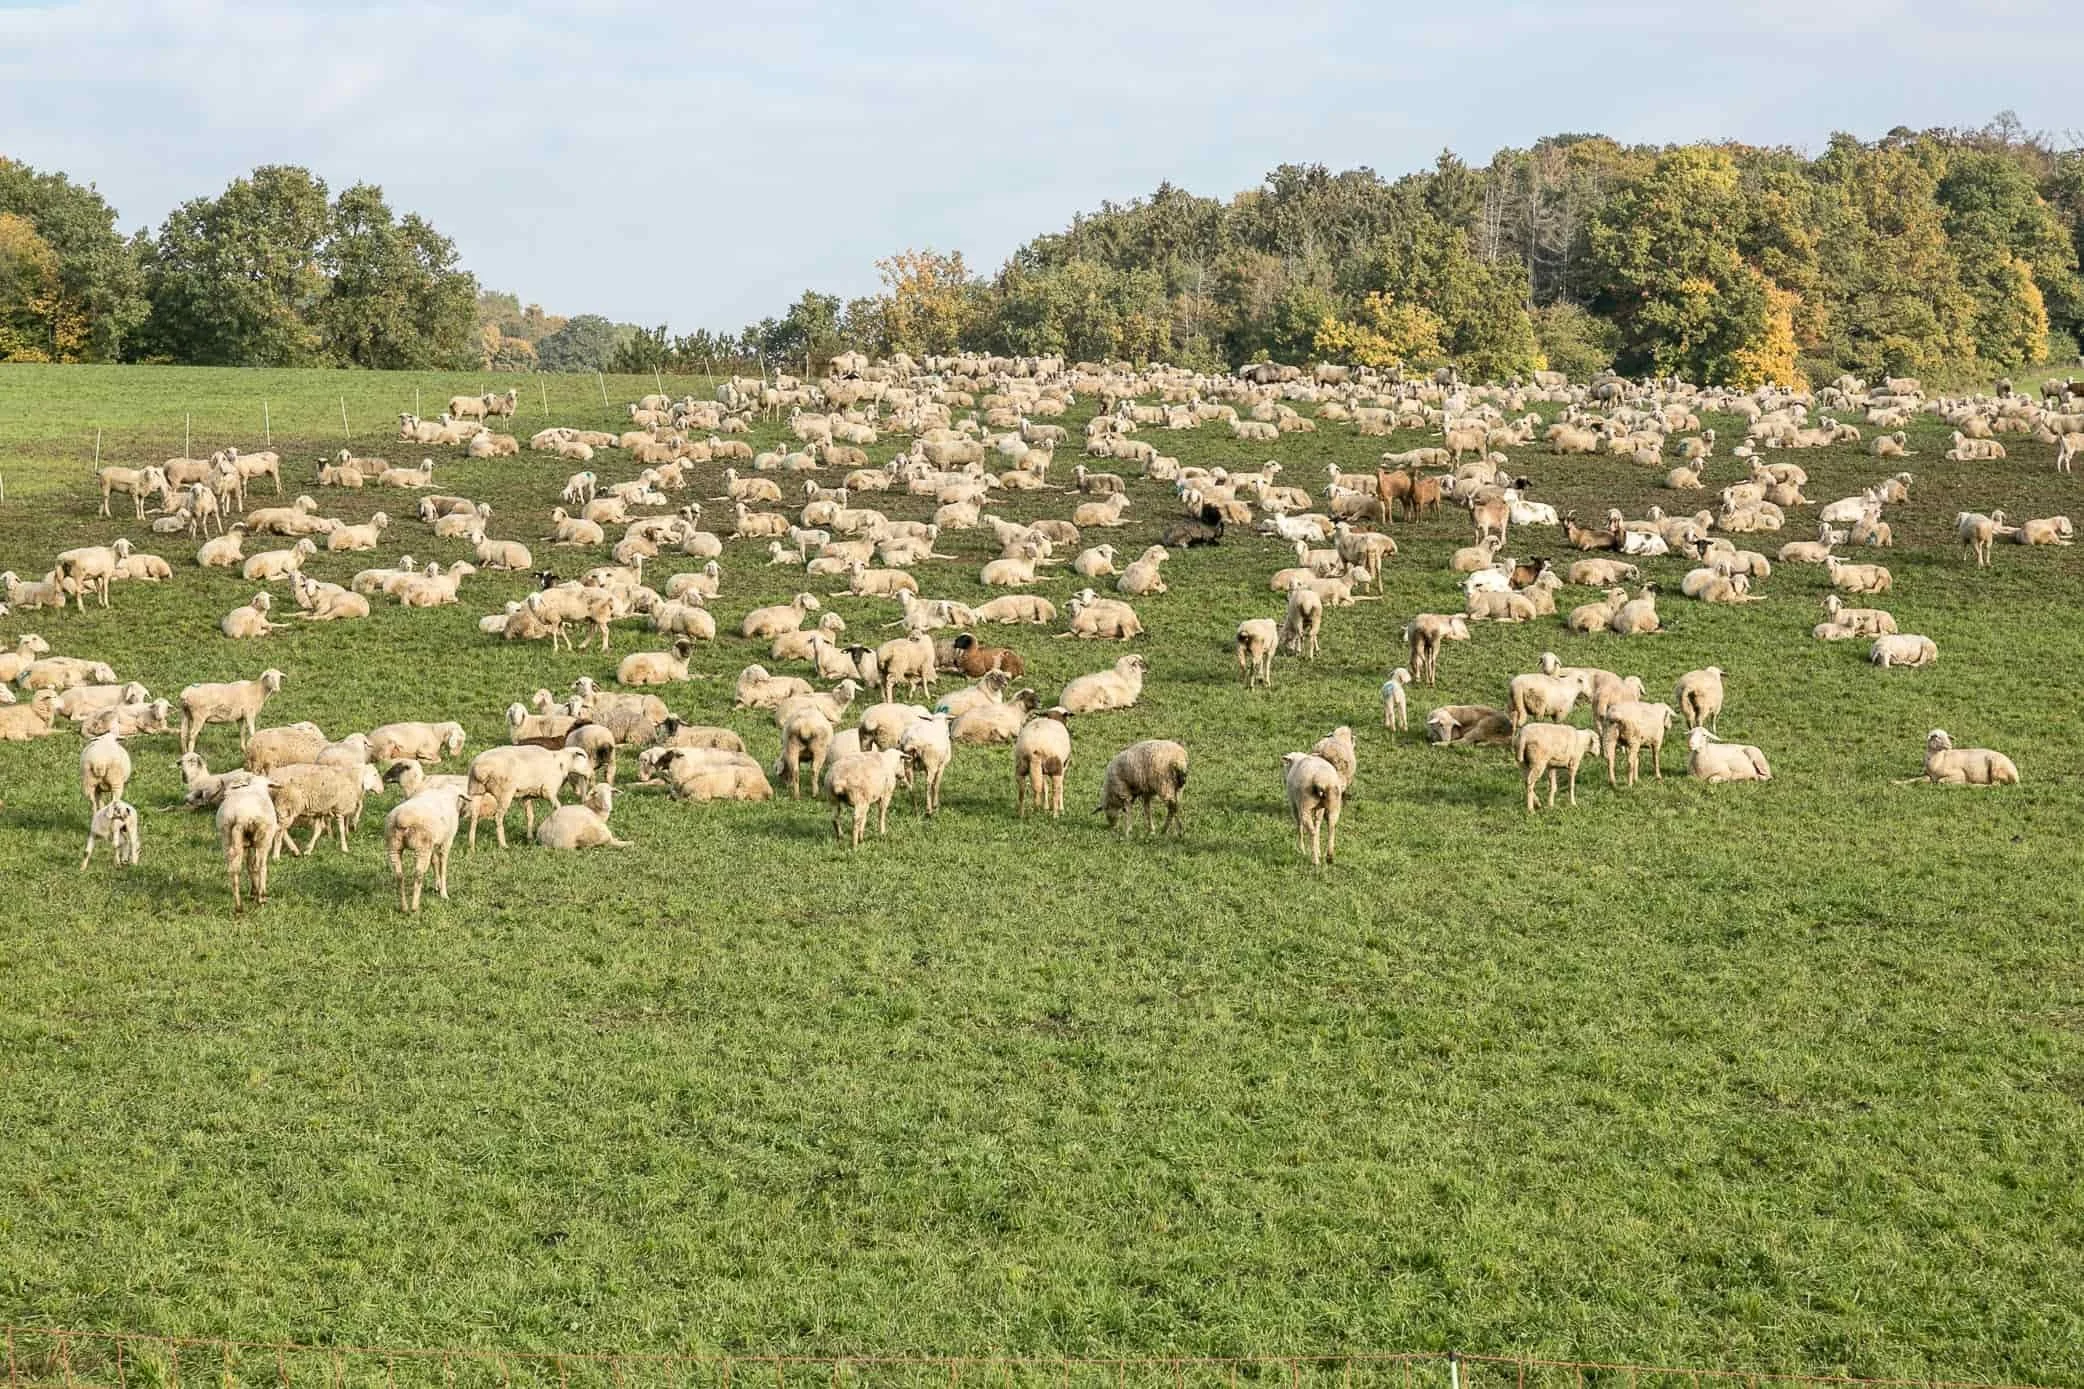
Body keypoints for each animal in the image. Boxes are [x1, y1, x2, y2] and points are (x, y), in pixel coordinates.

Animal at [217, 776, 279, 909]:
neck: (257, 786)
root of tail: (241, 816)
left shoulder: (247, 845)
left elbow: (250, 865)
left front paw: (253, 891)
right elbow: (255, 865)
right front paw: (256, 892)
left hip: (226, 836)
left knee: (234, 869)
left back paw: (238, 906)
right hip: (263, 839)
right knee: (261, 865)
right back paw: (262, 898)